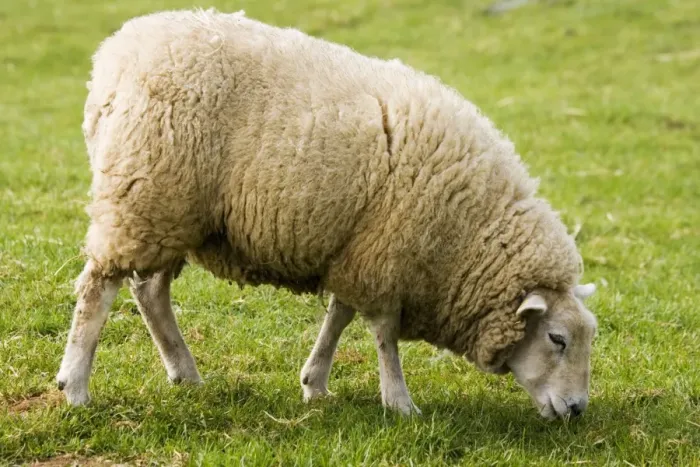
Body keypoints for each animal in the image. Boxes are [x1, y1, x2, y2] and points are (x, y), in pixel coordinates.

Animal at [57, 8, 598, 418]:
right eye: (557, 339)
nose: (576, 410)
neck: (471, 233)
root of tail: (114, 56)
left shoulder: (357, 249)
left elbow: (340, 315)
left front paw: (314, 382)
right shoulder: (387, 253)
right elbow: (384, 334)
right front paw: (399, 402)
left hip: (172, 212)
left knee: (149, 291)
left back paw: (184, 373)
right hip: (143, 194)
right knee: (98, 288)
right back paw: (76, 385)